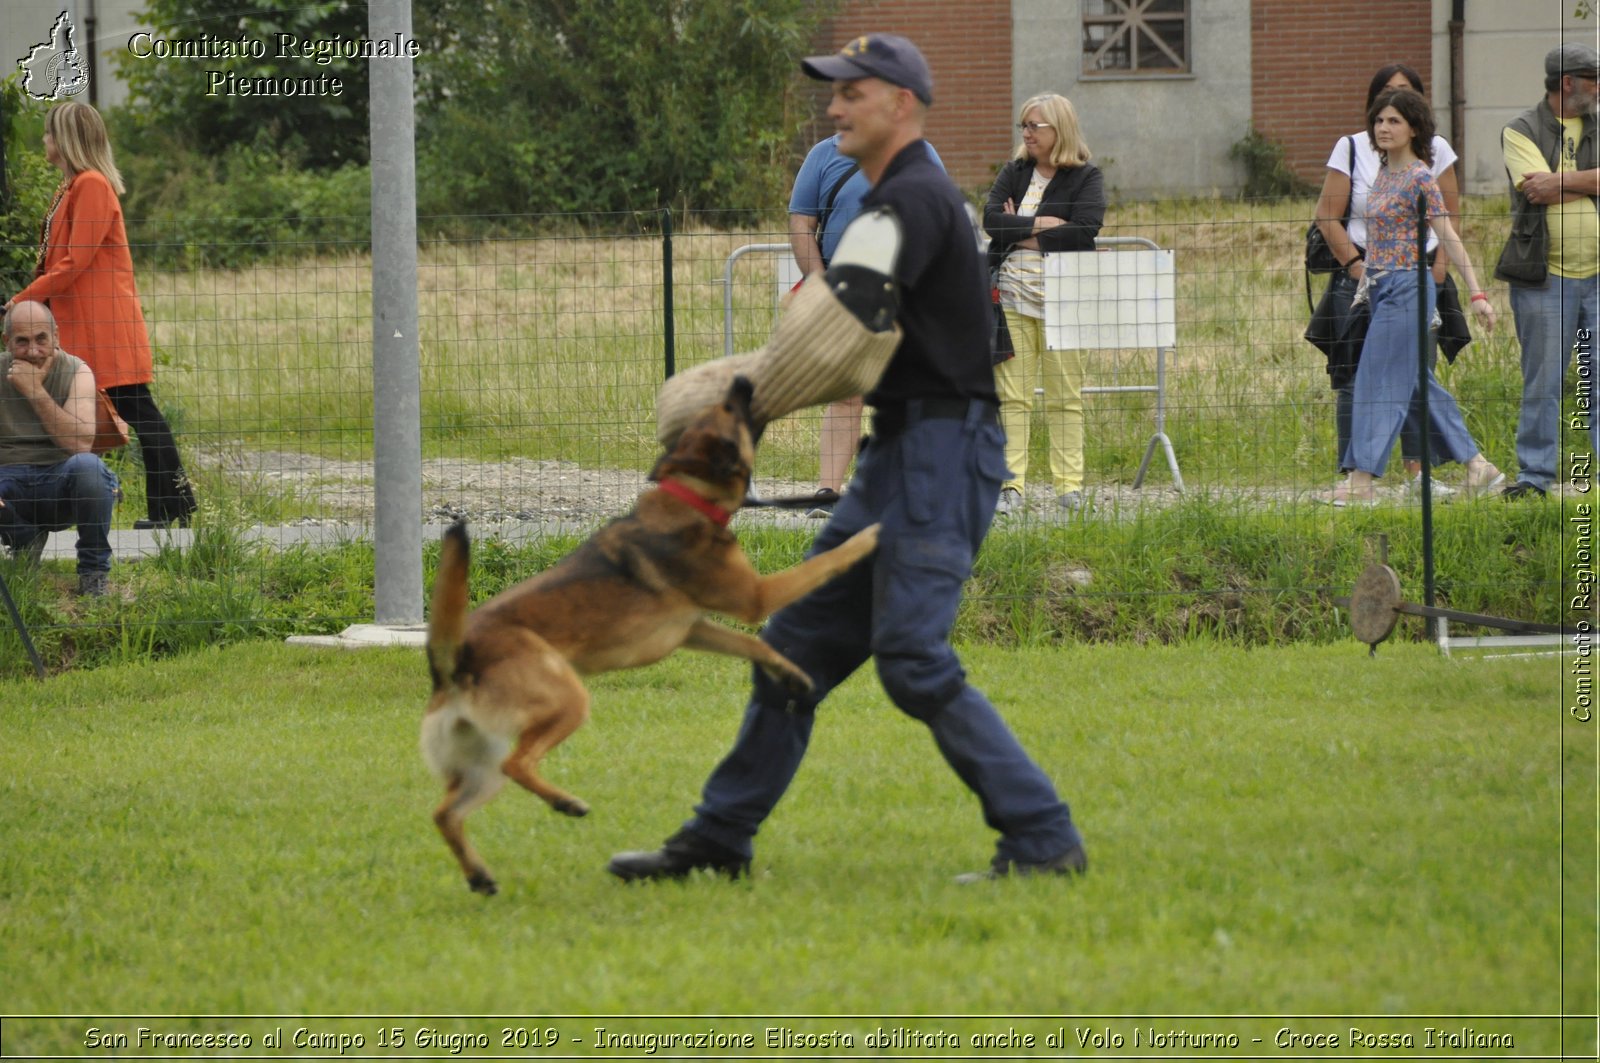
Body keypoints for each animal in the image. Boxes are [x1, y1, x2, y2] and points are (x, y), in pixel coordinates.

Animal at [419, 377, 883, 890]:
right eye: (728, 410)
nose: (743, 380)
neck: (690, 497)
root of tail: (454, 660)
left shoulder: (694, 628)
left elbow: (753, 643)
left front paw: (793, 675)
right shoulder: (756, 596)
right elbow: (826, 561)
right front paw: (871, 533)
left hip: (480, 761)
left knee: (445, 812)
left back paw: (480, 874)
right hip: (565, 702)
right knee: (517, 764)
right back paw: (565, 803)